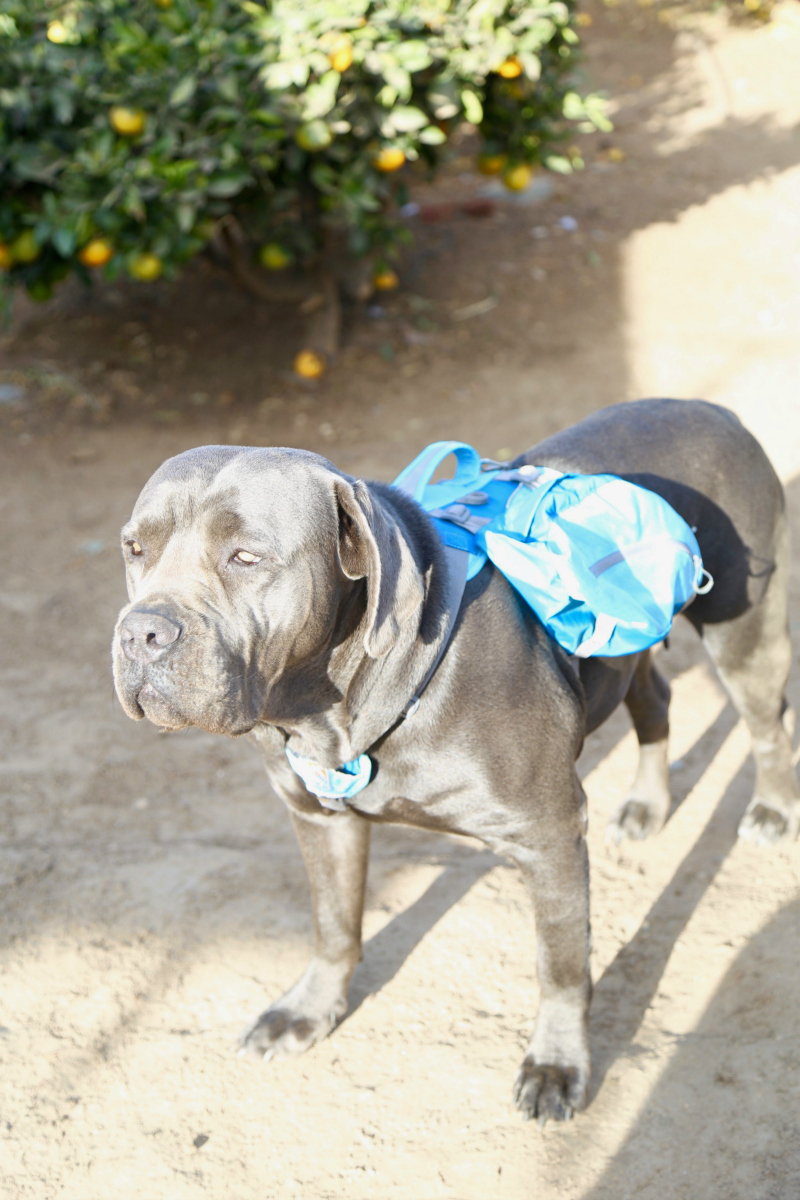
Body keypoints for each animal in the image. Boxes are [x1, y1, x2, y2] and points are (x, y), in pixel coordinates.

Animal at [112, 400, 800, 1123]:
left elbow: (561, 963)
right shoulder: (319, 818)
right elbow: (333, 924)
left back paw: (773, 810)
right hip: (623, 655)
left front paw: (557, 1065)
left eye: (246, 557)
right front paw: (308, 1010)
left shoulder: (549, 834)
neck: (334, 703)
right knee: (654, 695)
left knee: (767, 725)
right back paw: (647, 804)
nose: (141, 631)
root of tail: (713, 409)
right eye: (135, 549)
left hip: (744, 632)